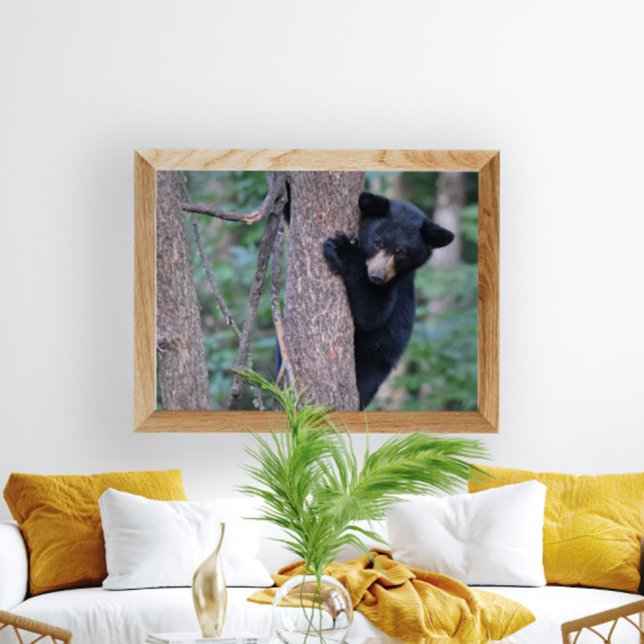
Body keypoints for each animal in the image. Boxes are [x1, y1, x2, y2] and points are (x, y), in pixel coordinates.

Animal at [323, 191, 455, 410]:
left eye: (401, 252)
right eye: (378, 242)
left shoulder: (395, 286)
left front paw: (342, 249)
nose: (376, 276)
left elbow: (372, 314)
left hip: (373, 362)